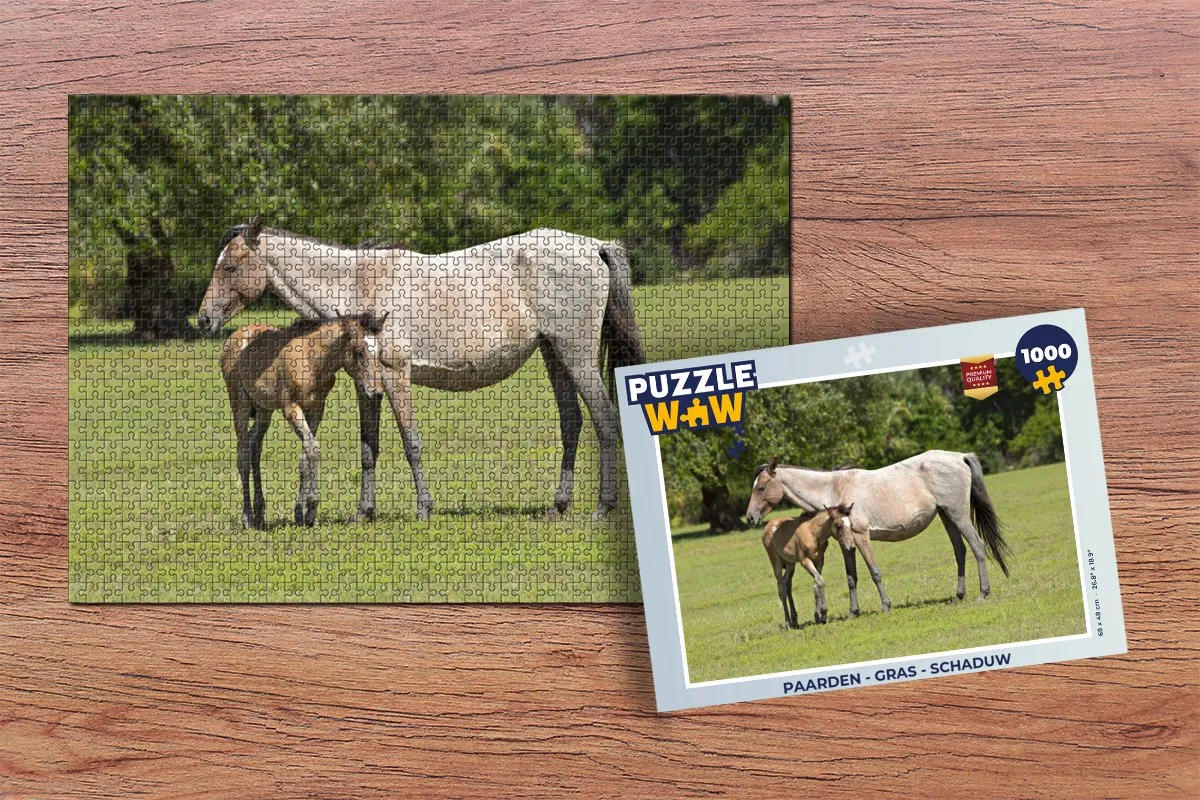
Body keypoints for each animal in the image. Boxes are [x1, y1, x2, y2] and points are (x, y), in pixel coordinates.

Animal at [220, 313, 387, 529]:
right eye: (359, 351)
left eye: (380, 352)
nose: (376, 392)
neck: (311, 359)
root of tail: (236, 335)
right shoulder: (291, 408)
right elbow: (313, 449)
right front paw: (311, 504)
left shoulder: (316, 409)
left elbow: (306, 455)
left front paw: (302, 514)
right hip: (239, 403)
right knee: (243, 453)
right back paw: (247, 517)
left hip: (264, 410)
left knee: (254, 446)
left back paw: (259, 513)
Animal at [746, 451, 1010, 616]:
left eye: (761, 487)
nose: (750, 517)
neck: (834, 488)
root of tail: (960, 457)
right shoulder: (846, 544)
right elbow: (851, 577)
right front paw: (853, 612)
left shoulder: (861, 536)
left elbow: (874, 572)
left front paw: (886, 606)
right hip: (947, 517)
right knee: (960, 551)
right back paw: (958, 596)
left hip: (959, 515)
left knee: (977, 547)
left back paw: (983, 593)